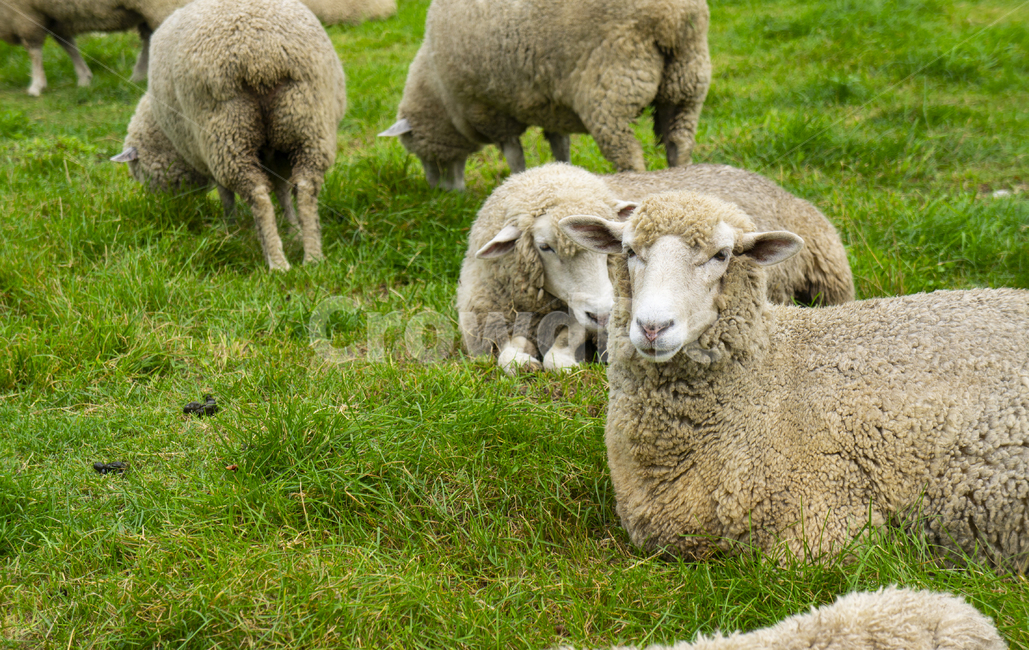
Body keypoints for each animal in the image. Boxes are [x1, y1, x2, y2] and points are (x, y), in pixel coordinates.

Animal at [111, 0, 347, 271]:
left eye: (139, 173)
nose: (166, 207)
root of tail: (262, 56)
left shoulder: (206, 154)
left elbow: (226, 195)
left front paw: (230, 228)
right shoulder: (276, 156)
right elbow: (283, 193)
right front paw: (293, 231)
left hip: (228, 133)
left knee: (258, 196)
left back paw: (277, 263)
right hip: (307, 125)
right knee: (306, 189)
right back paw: (313, 258)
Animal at [379, 0, 711, 190]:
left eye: (417, 150)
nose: (438, 192)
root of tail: (671, 16)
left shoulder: (490, 111)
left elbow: (514, 155)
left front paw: (516, 183)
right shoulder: (551, 108)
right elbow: (560, 148)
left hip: (612, 89)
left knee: (629, 158)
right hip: (686, 83)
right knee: (679, 146)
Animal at [457, 163, 853, 374]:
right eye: (544, 247)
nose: (602, 313)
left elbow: (561, 350)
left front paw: (564, 360)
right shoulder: (491, 318)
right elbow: (508, 357)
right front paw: (524, 359)